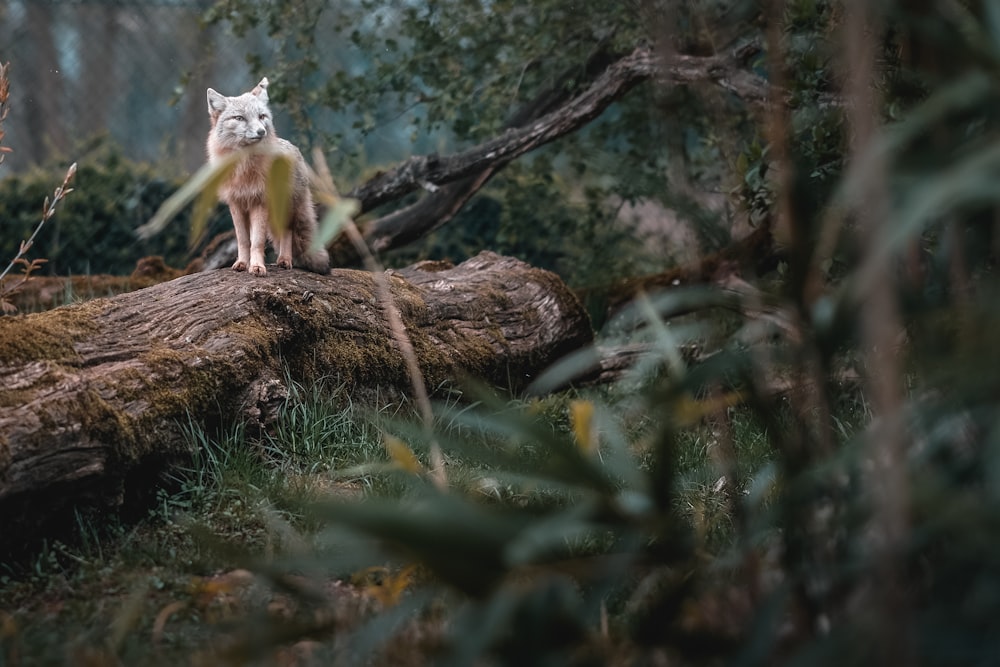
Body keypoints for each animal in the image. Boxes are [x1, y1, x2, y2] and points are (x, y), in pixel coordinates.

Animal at [205, 78, 330, 276]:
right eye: (239, 118)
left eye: (262, 116)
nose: (261, 131)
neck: (244, 170)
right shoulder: (236, 203)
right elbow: (244, 240)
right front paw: (242, 263)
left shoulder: (260, 202)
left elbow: (257, 241)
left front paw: (257, 266)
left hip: (286, 208)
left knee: (287, 233)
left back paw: (285, 260)